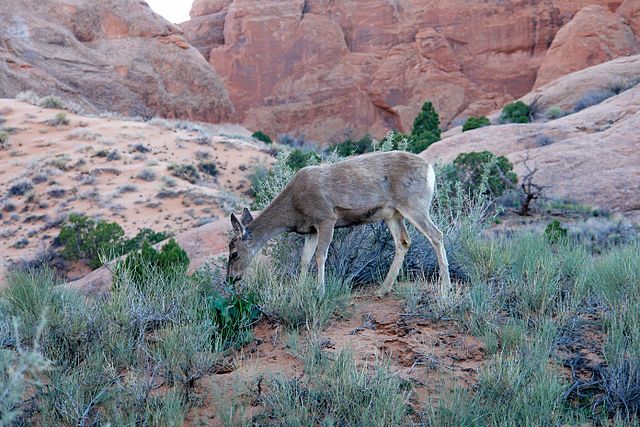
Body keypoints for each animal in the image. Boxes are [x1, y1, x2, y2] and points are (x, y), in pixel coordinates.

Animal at [228, 151, 452, 298]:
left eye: (234, 253)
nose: (231, 278)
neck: (293, 207)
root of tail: (430, 169)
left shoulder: (326, 217)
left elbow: (320, 255)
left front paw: (320, 291)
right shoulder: (310, 229)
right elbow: (304, 259)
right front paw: (300, 289)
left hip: (414, 203)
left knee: (436, 235)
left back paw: (446, 288)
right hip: (392, 213)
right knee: (403, 242)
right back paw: (383, 289)